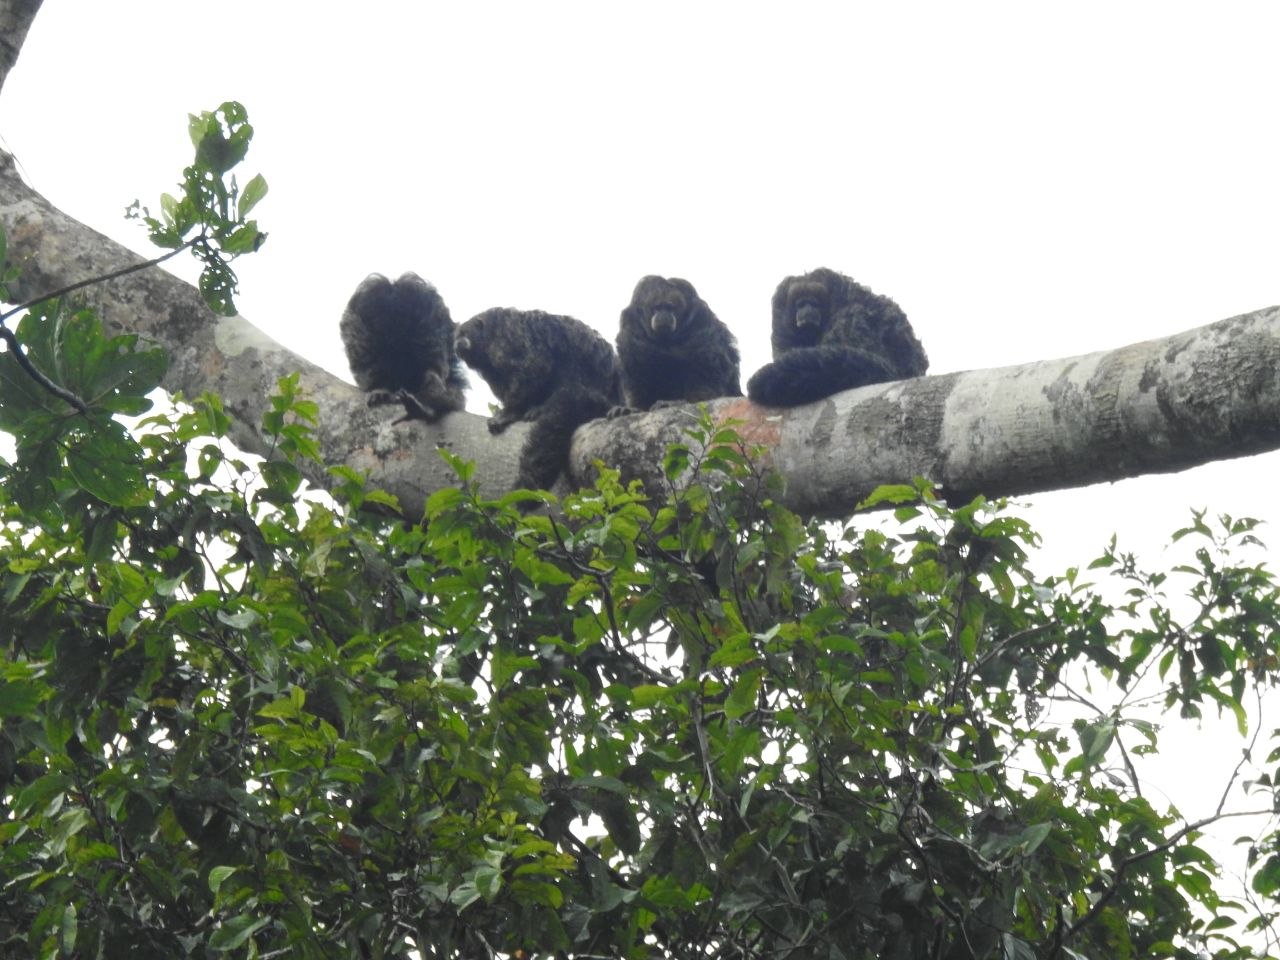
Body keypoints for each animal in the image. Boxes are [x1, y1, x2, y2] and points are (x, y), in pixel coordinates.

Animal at [454, 307, 623, 492]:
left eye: (464, 333)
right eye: (457, 336)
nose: (457, 343)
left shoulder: (506, 339)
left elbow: (535, 366)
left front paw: (510, 412)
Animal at [614, 275, 741, 413]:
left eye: (670, 307)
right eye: (657, 307)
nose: (664, 314)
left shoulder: (702, 321)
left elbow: (706, 368)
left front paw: (682, 402)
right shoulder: (630, 325)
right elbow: (636, 367)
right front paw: (633, 409)